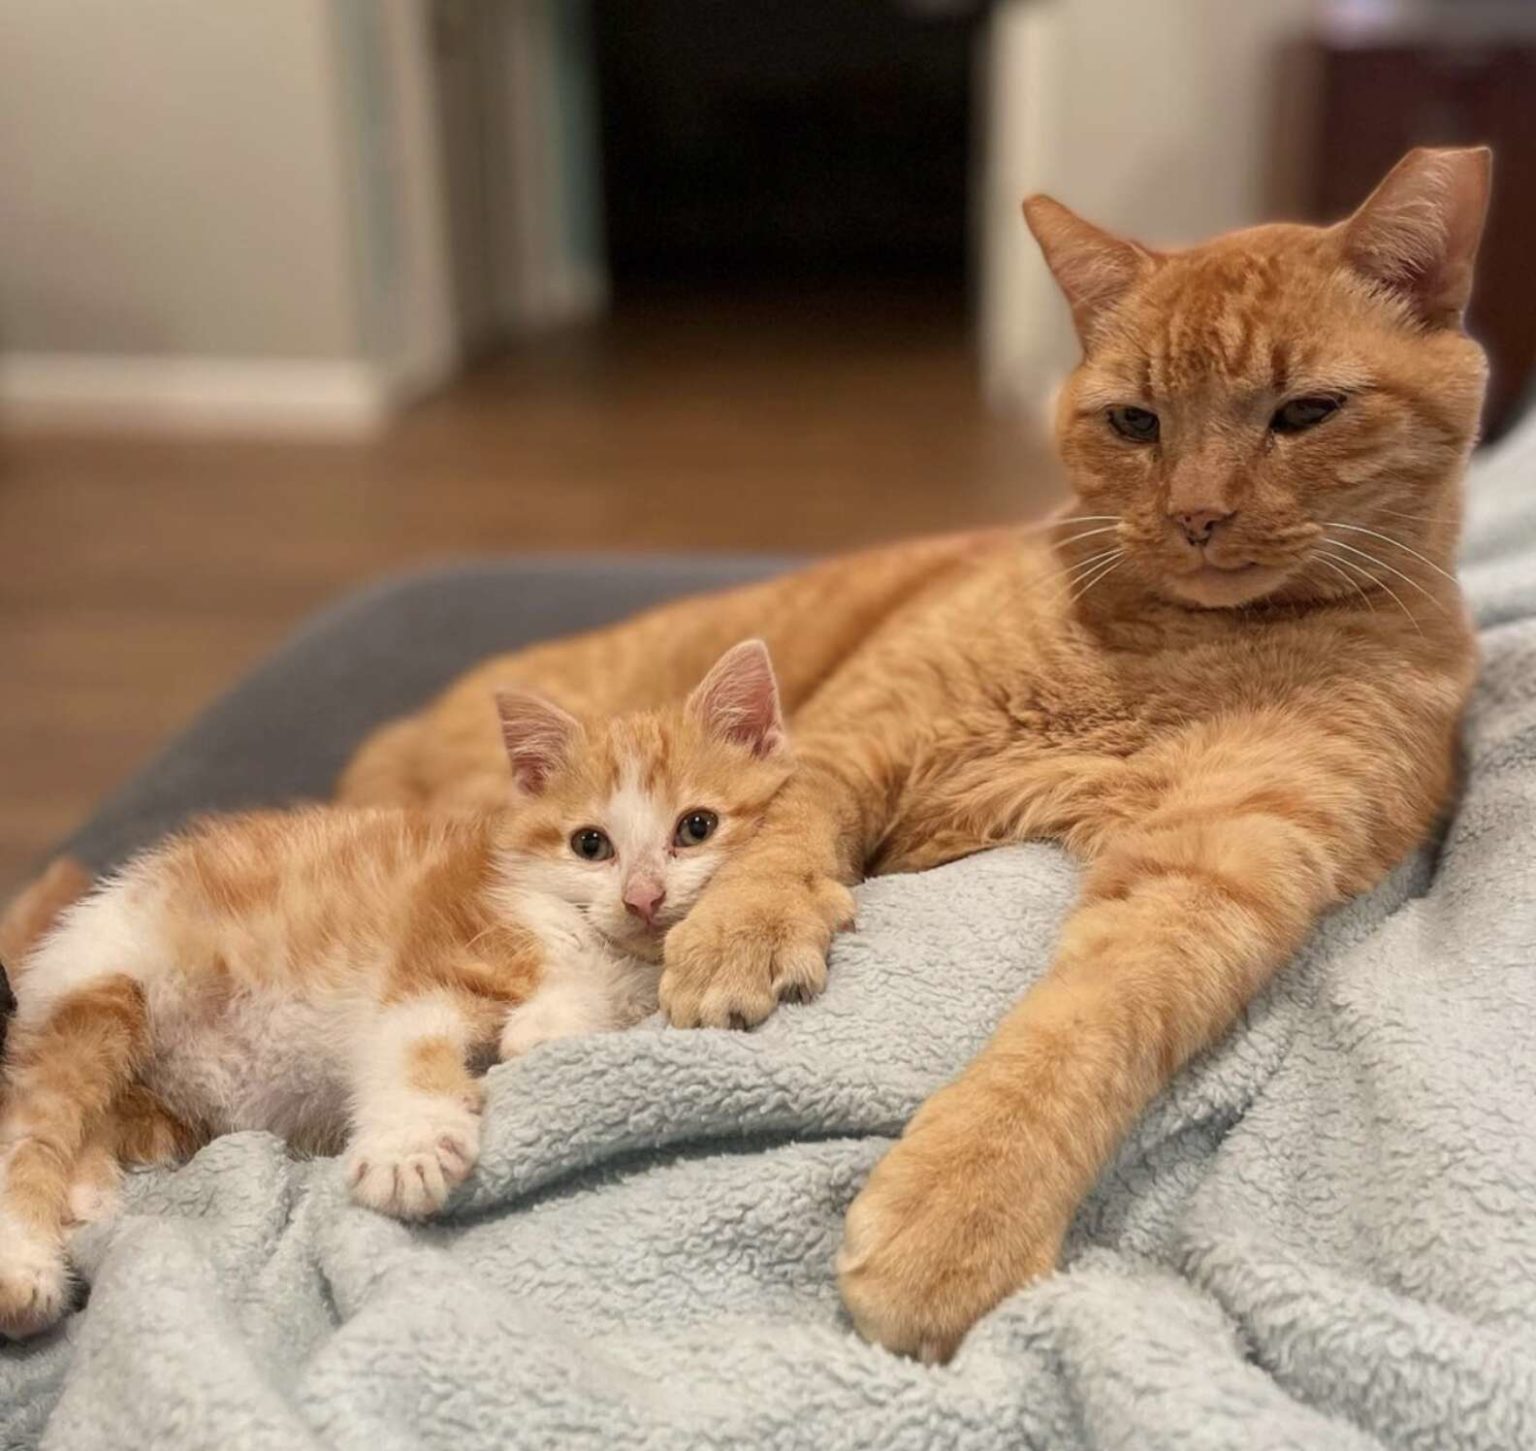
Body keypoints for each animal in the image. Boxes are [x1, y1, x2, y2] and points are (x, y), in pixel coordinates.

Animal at [0, 638, 792, 1338]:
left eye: (696, 827)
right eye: (590, 844)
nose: (643, 897)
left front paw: (547, 1024)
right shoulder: (434, 952)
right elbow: (406, 1043)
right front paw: (408, 1150)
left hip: (169, 1112)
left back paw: (87, 1190)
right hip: (104, 987)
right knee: (30, 1126)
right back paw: (26, 1268)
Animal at [321, 147, 1486, 1357]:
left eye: (1305, 413)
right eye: (1135, 422)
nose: (1198, 516)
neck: (1175, 649)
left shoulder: (1216, 867)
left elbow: (1086, 1028)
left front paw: (962, 1211)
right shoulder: (862, 731)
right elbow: (784, 836)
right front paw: (741, 932)